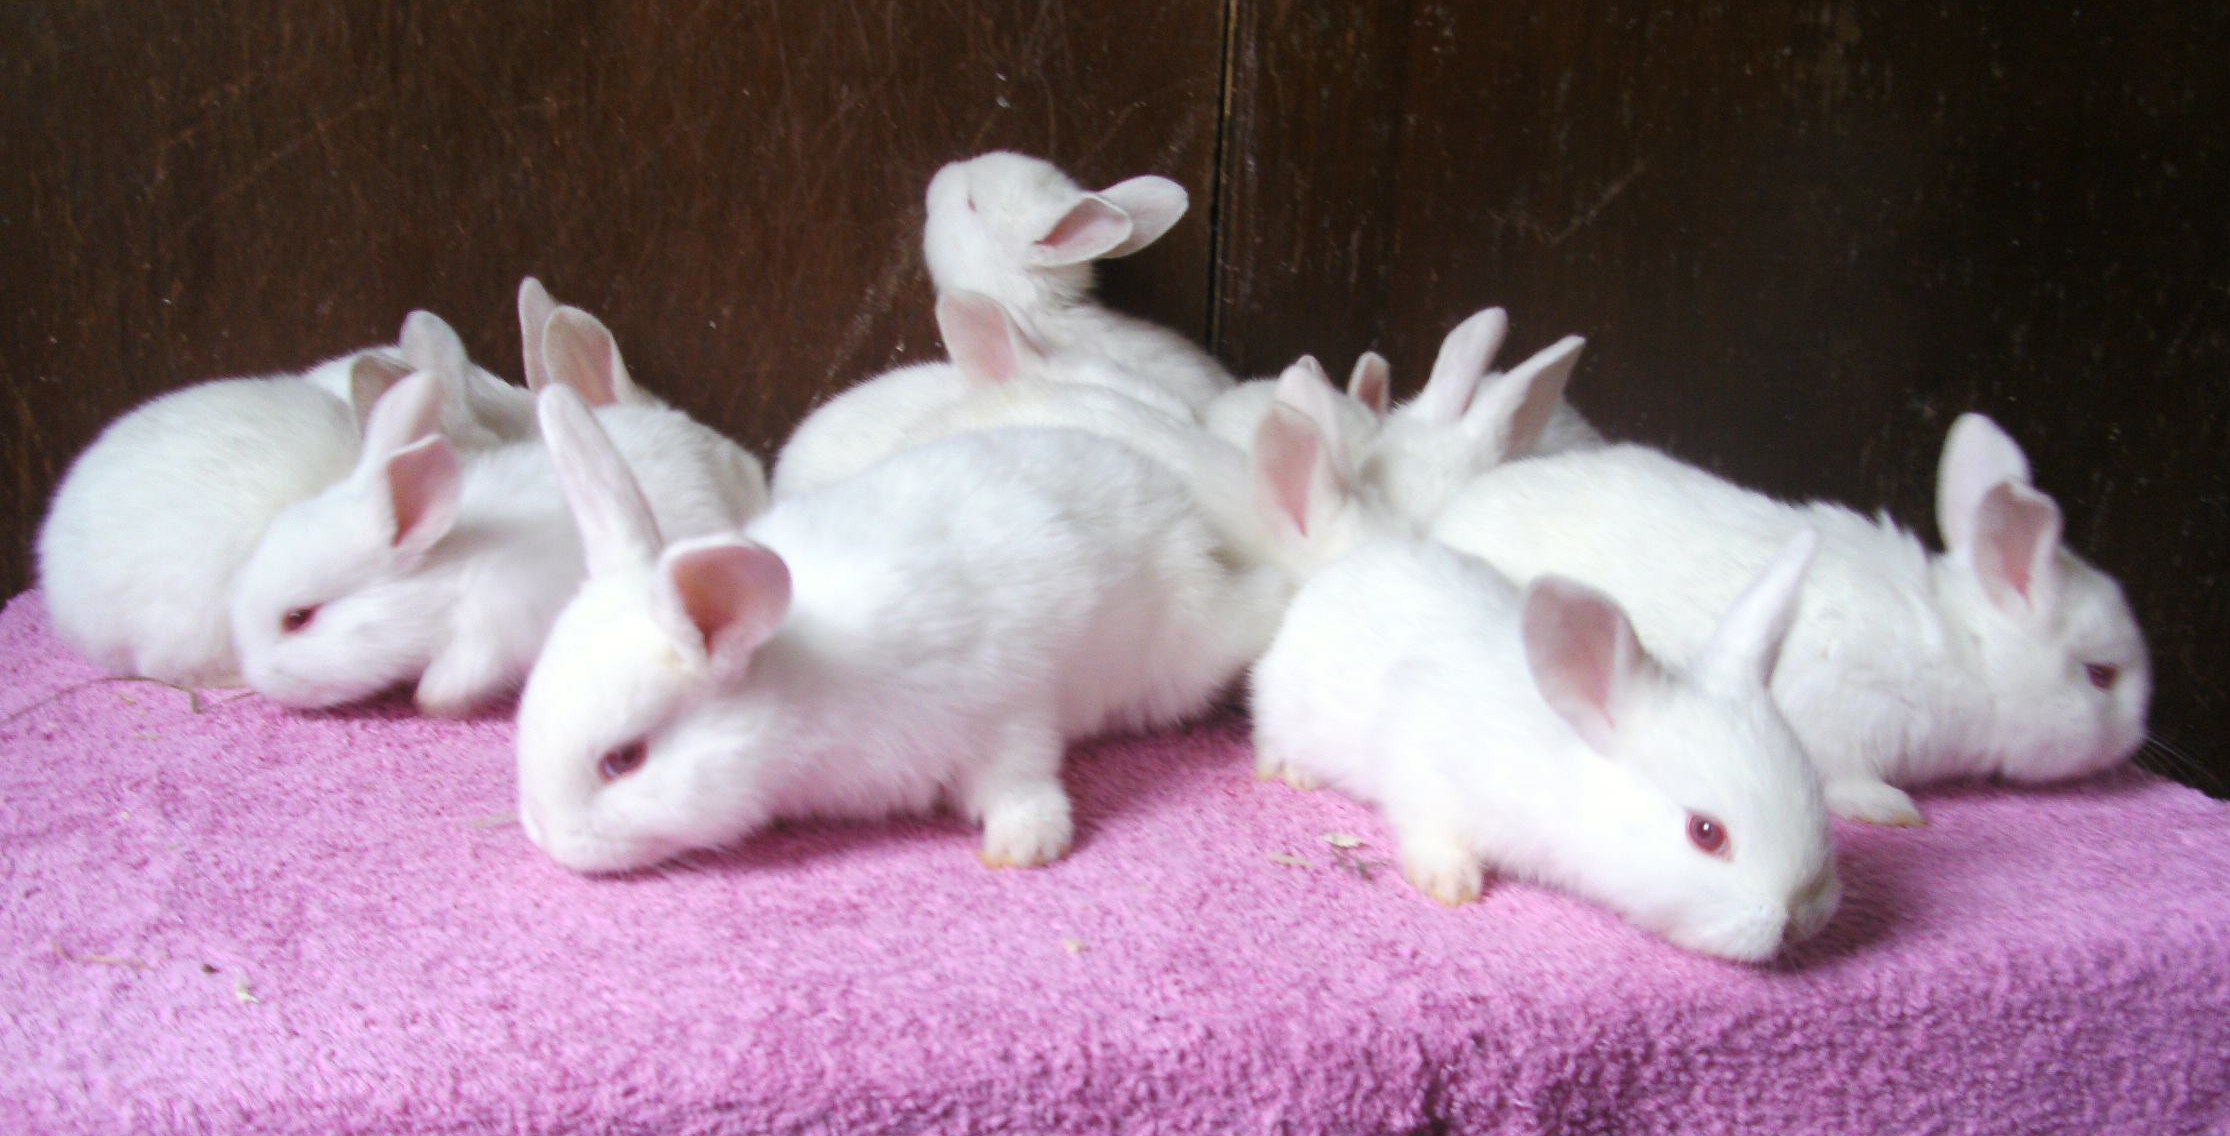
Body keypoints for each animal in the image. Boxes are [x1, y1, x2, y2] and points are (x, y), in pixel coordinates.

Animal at [227, 331, 761, 715]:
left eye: (299, 618)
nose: (257, 680)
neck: (448, 569)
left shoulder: (488, 635)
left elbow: (446, 687)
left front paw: (430, 703)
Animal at [515, 393, 1282, 875]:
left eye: (623, 760)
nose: (549, 840)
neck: (800, 683)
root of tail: (1174, 501)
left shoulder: (1004, 708)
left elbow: (1020, 778)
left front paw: (1026, 845)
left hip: (1177, 648)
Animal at [1250, 531, 1838, 963]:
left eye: (1815, 790)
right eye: (1706, 833)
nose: (1804, 918)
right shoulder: (1427, 767)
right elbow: (1431, 828)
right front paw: (1450, 882)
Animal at [1430, 413, 2151, 826]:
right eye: (2101, 675)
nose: (2136, 738)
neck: (1965, 653)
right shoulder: (1845, 712)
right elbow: (1846, 776)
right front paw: (1891, 809)